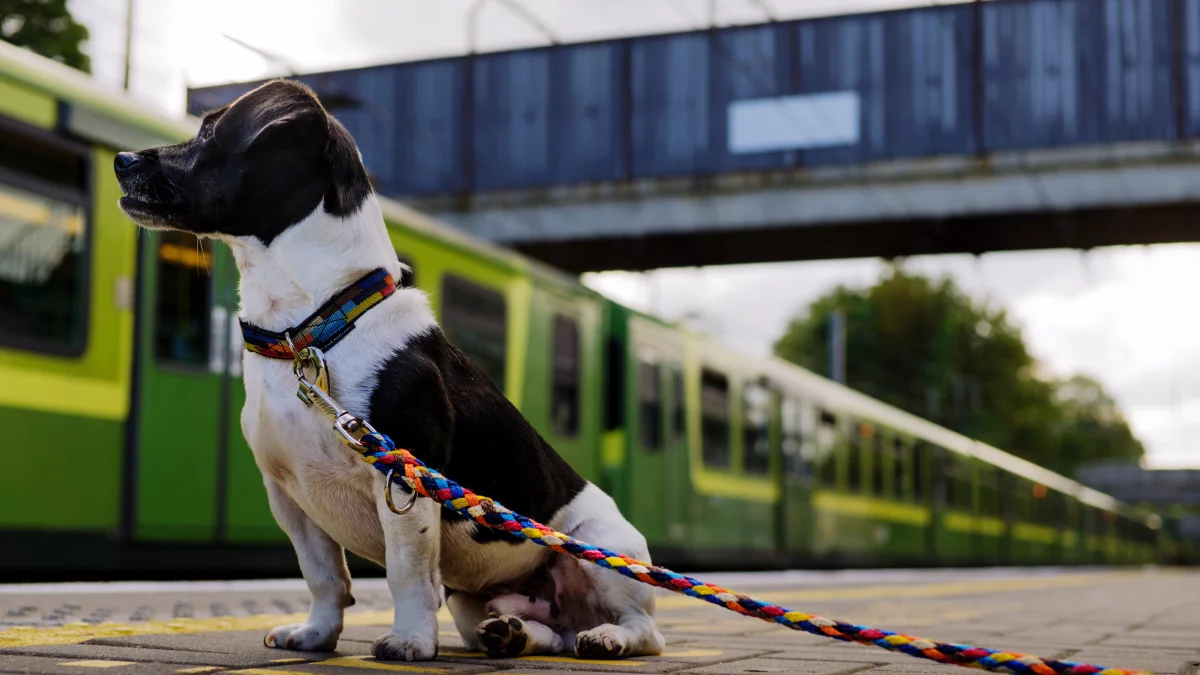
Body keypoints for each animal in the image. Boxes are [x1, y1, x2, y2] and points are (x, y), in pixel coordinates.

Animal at [113, 79, 667, 662]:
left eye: (209, 132)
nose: (121, 160)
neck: (315, 324)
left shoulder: (404, 481)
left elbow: (407, 573)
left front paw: (410, 640)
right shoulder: (289, 497)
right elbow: (323, 577)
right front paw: (316, 634)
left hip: (603, 557)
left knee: (642, 628)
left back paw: (609, 638)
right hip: (473, 600)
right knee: (547, 632)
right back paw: (512, 632)